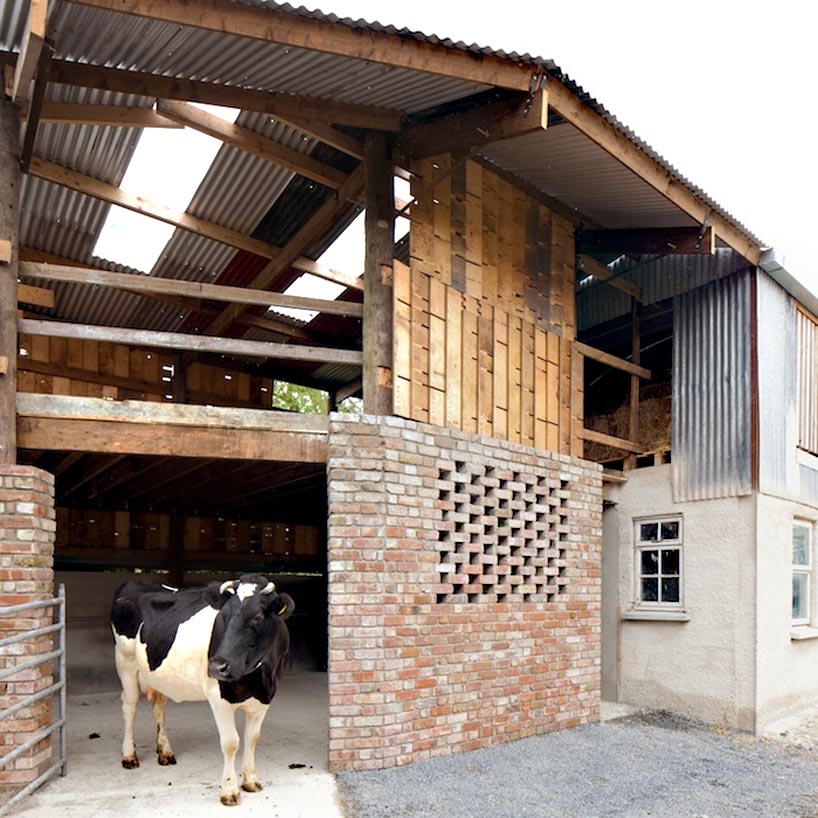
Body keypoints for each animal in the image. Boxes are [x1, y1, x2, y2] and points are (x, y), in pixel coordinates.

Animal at [110, 572, 294, 804]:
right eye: (223, 616)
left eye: (258, 618)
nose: (216, 666)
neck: (258, 677)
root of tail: (134, 584)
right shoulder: (219, 699)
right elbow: (231, 742)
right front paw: (230, 791)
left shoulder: (264, 698)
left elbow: (252, 738)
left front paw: (250, 780)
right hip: (125, 664)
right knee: (129, 707)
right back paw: (129, 756)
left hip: (159, 675)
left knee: (159, 707)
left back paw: (165, 752)